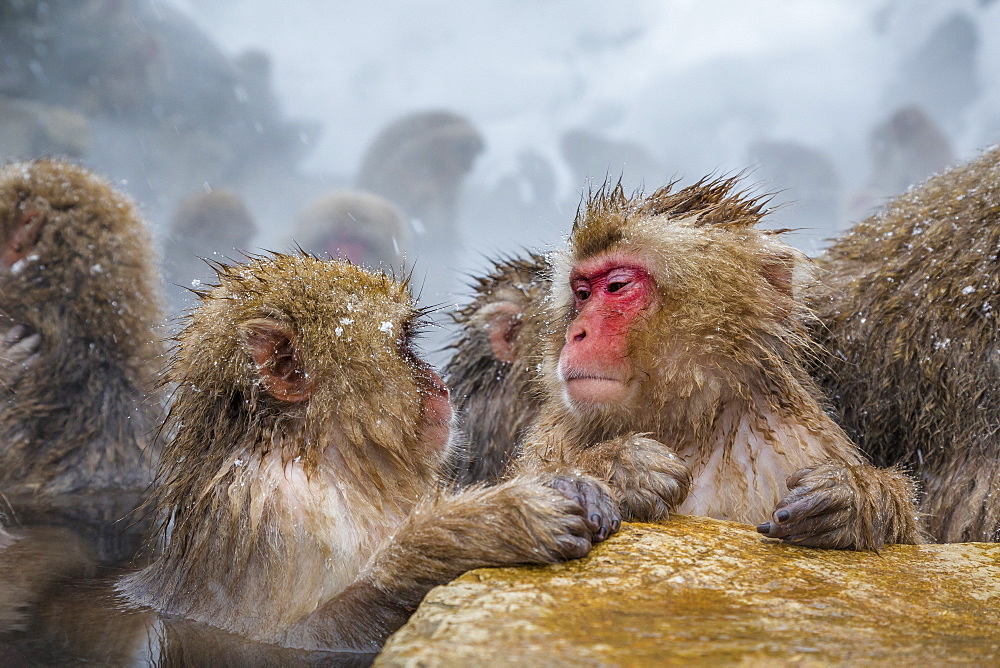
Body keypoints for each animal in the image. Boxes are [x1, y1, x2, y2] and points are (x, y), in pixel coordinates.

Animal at [33, 253, 616, 660]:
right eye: (402, 346)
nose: (440, 385)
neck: (329, 461)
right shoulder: (274, 516)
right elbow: (296, 637)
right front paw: (488, 526)